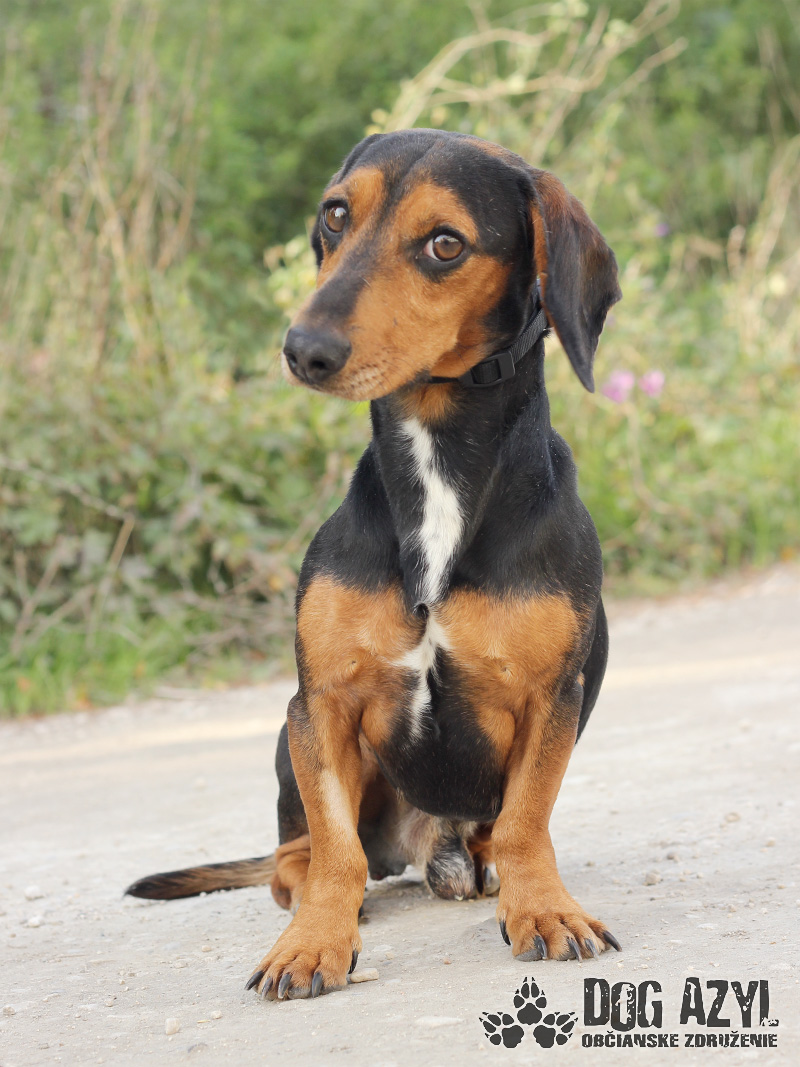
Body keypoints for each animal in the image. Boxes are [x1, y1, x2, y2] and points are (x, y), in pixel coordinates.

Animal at [127, 128, 623, 1001]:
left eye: (445, 243)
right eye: (334, 214)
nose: (303, 350)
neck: (434, 473)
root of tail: (427, 842)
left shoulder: (552, 698)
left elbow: (528, 823)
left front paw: (544, 905)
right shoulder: (320, 702)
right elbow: (336, 850)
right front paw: (314, 941)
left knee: (484, 836)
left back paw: (476, 865)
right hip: (283, 736)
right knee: (296, 858)